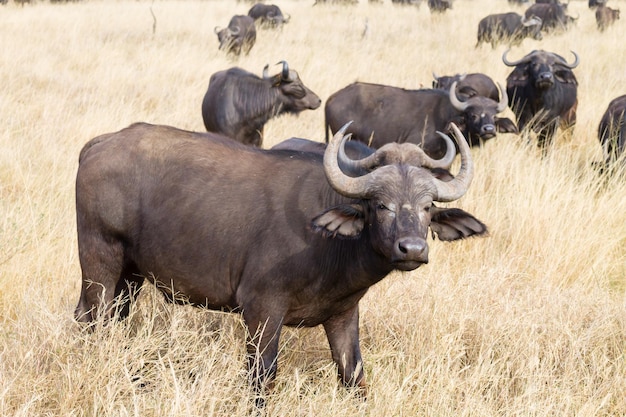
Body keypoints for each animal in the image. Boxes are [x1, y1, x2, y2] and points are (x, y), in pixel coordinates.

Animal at [74, 121, 488, 406]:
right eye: (380, 205)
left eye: (428, 207)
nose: (412, 249)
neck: (330, 244)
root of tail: (100, 144)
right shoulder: (261, 310)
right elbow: (263, 377)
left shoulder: (343, 315)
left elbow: (354, 376)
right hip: (100, 261)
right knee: (92, 320)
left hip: (130, 276)